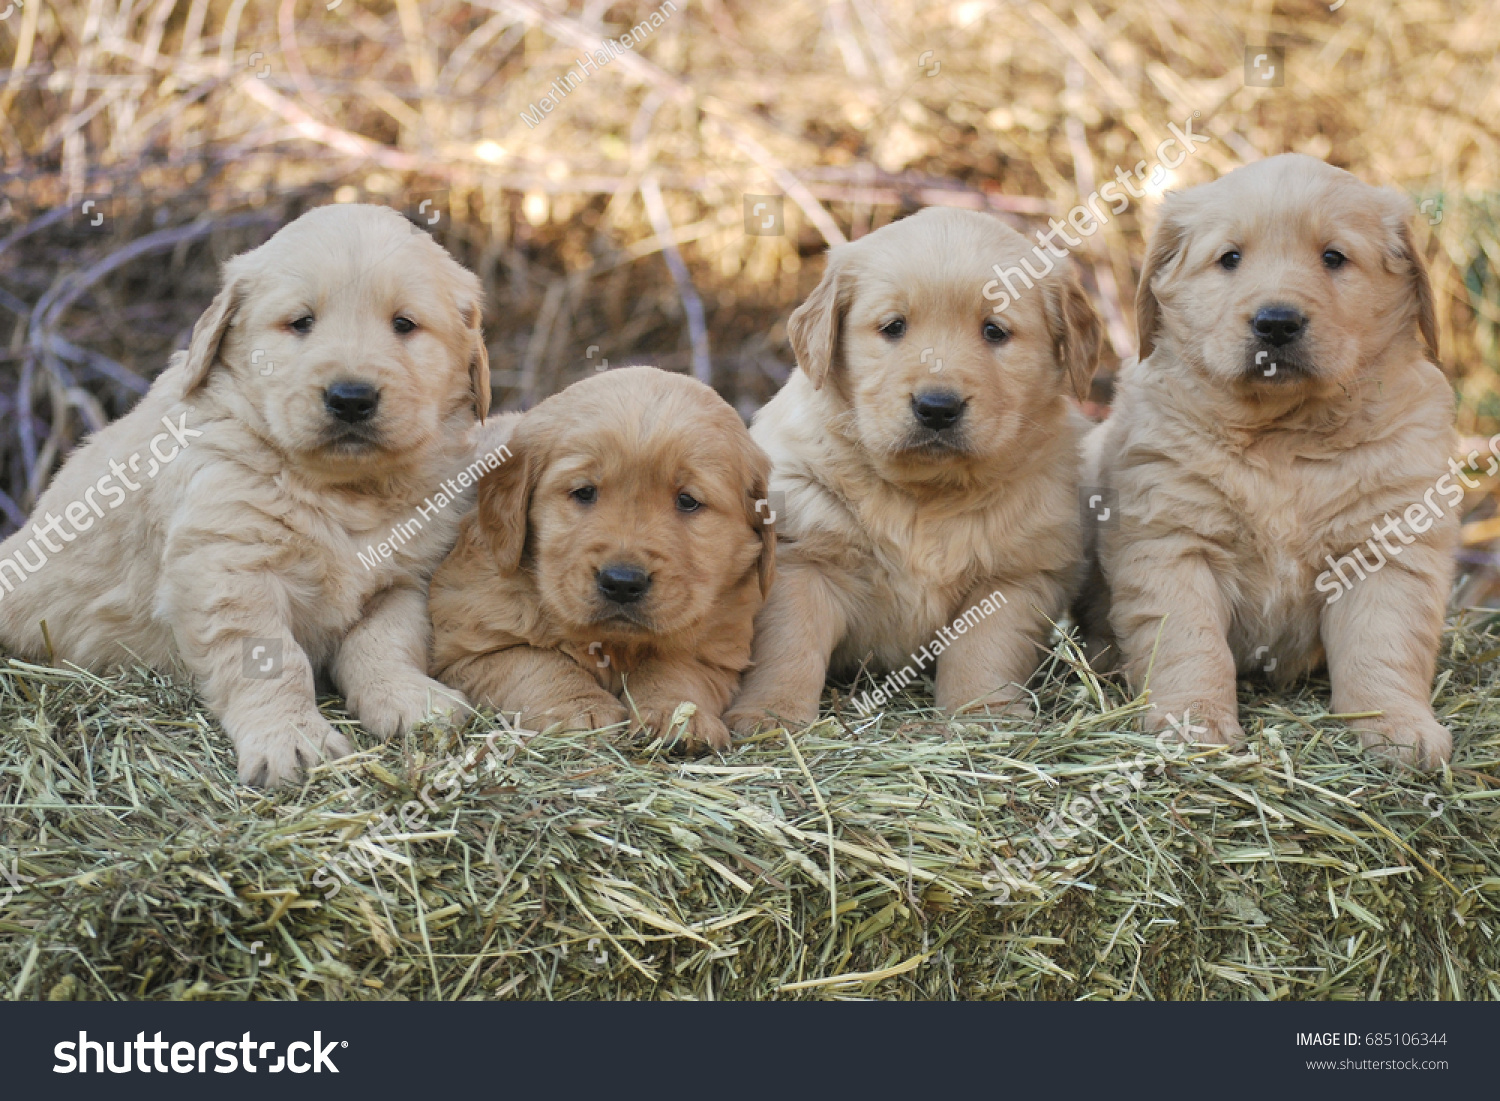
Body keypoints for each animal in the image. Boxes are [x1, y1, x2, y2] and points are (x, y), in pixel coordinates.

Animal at [0, 201, 492, 786]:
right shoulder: (230, 567)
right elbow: (270, 660)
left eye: (404, 324)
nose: (351, 398)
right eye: (300, 322)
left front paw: (412, 700)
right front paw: (291, 740)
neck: (344, 489)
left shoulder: (407, 578)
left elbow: (385, 640)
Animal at [423, 366, 774, 756]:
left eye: (687, 501)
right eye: (584, 492)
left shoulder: (716, 648)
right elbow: (536, 663)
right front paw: (580, 710)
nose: (622, 582)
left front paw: (678, 716)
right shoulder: (470, 645)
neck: (614, 644)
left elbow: (676, 669)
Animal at [726, 210, 1104, 738]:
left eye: (995, 331)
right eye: (894, 327)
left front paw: (981, 713)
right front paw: (770, 715)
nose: (937, 407)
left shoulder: (1016, 574)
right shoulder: (805, 558)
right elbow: (790, 645)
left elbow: (984, 649)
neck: (927, 494)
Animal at [1086, 155, 1458, 774]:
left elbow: (1383, 645)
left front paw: (1400, 729)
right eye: (1230, 258)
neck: (1282, 436)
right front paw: (1194, 723)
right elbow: (1189, 642)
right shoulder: (1171, 541)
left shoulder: (1386, 546)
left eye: (1333, 257)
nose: (1277, 322)